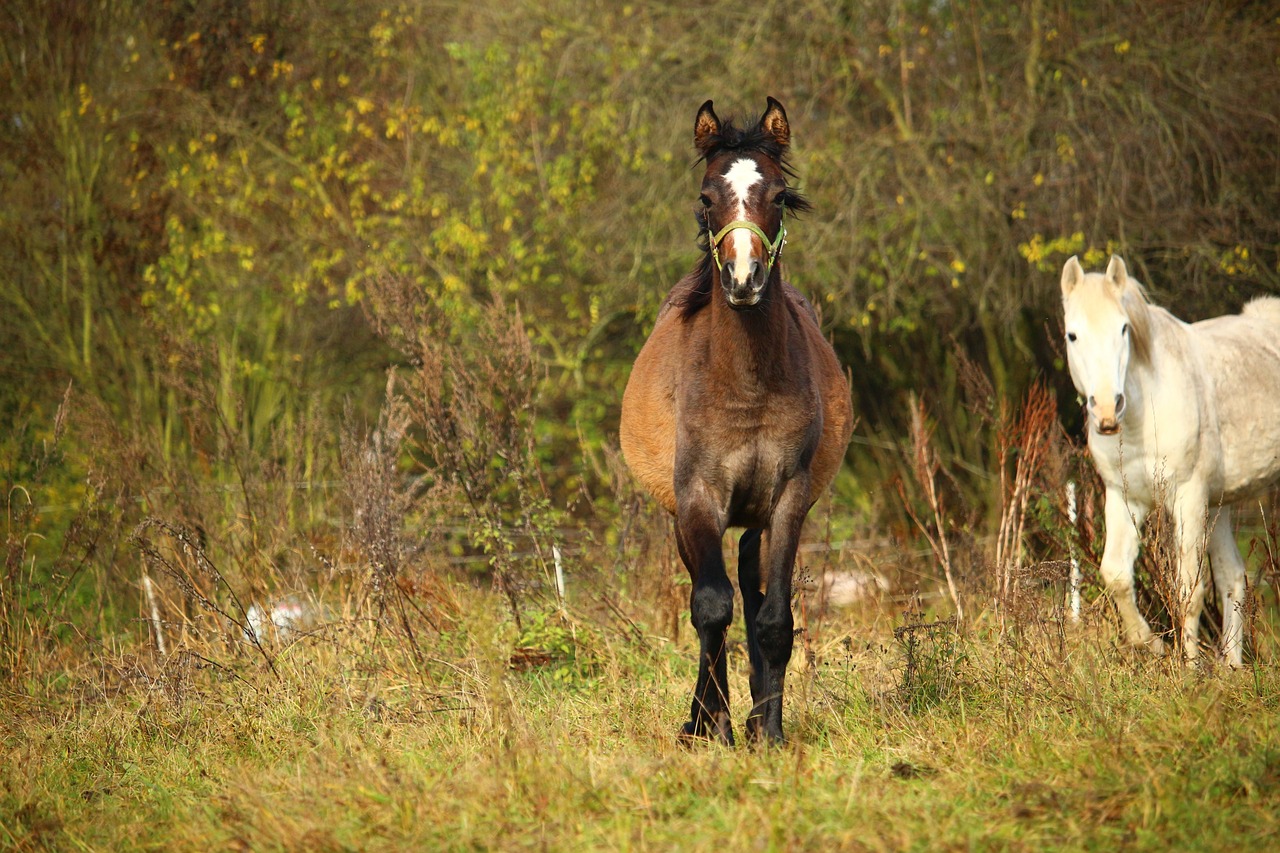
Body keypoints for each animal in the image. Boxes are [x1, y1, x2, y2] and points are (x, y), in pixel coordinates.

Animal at [622, 96, 855, 742]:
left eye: (778, 195)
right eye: (706, 197)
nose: (744, 279)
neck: (745, 384)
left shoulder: (787, 499)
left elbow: (773, 618)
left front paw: (767, 731)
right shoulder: (699, 499)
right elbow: (710, 607)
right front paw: (709, 726)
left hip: (755, 516)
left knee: (751, 585)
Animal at [1059, 252, 1280, 666]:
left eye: (1124, 329)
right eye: (1072, 335)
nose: (1107, 410)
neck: (1144, 412)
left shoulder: (1187, 498)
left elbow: (1188, 592)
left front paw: (1190, 670)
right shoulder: (1124, 497)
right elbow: (1116, 575)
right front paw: (1151, 644)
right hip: (1218, 504)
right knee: (1232, 578)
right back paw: (1231, 667)